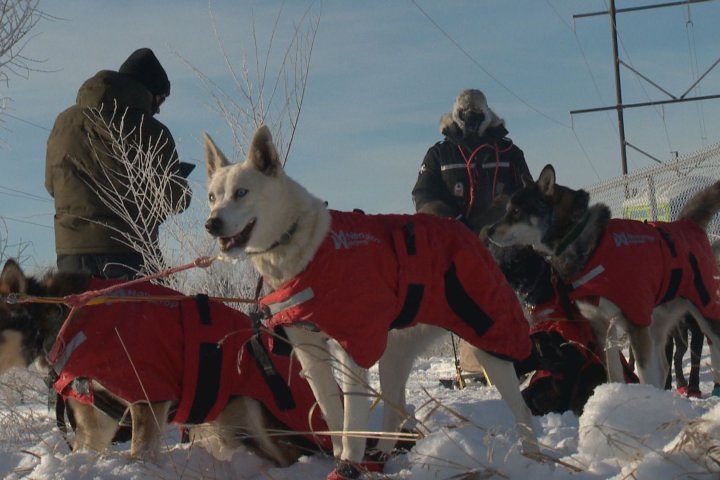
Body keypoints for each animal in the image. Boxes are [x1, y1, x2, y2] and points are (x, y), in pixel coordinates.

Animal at [202, 125, 536, 478]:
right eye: (212, 197)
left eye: (241, 192)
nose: (212, 223)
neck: (305, 248)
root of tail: (468, 231)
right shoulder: (310, 352)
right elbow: (333, 416)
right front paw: (340, 459)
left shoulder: (355, 347)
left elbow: (352, 421)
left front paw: (348, 463)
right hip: (394, 356)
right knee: (394, 413)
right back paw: (380, 458)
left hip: (489, 342)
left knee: (523, 411)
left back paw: (534, 458)